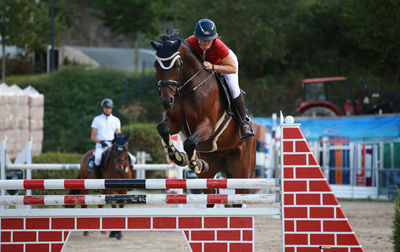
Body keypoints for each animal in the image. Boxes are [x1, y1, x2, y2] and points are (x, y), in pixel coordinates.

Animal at [150, 31, 256, 206]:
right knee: (210, 197)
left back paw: (245, 129)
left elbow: (189, 142)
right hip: (211, 169)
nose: (166, 101)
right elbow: (163, 128)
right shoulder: (175, 122)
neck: (188, 87)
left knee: (238, 199)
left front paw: (194, 162)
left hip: (242, 170)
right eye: (156, 65)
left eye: (177, 66)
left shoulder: (207, 125)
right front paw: (178, 157)